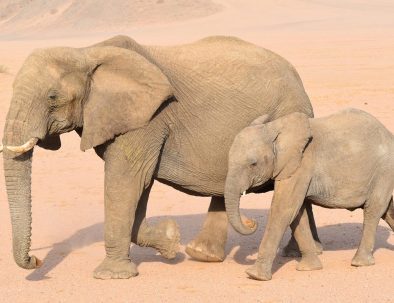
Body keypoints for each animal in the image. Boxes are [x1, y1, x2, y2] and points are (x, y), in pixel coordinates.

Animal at [1, 34, 318, 280]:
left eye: (52, 97)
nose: (36, 260)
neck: (86, 51)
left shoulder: (147, 118)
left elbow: (126, 181)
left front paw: (112, 275)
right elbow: (138, 186)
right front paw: (170, 241)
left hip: (289, 112)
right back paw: (202, 254)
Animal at [225, 108, 394, 282]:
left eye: (253, 164)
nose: (251, 222)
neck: (274, 128)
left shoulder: (302, 162)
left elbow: (284, 209)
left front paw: (255, 276)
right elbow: (298, 213)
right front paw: (309, 268)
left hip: (384, 170)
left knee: (373, 210)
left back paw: (359, 263)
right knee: (388, 211)